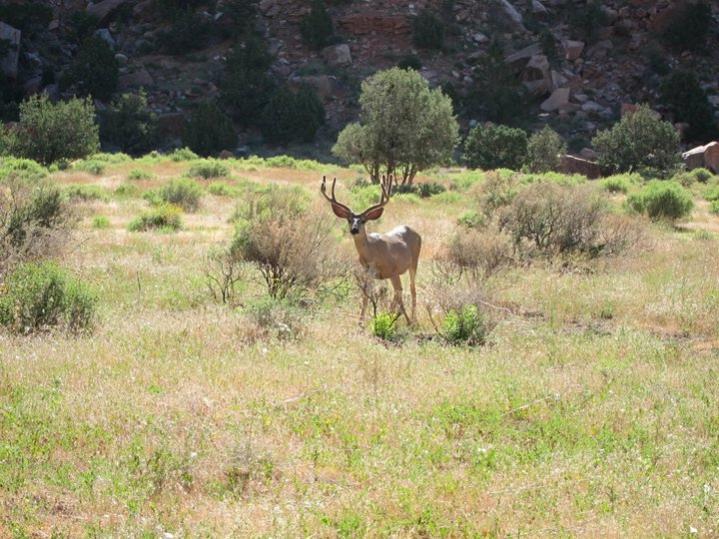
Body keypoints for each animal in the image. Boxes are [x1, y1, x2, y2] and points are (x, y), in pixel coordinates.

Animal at [320, 175, 422, 324]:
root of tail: (416, 232)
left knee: (411, 289)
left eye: (363, 221)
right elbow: (366, 295)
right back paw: (395, 316)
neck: (371, 253)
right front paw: (361, 321)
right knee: (399, 291)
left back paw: (412, 319)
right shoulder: (368, 271)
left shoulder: (391, 269)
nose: (354, 230)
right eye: (349, 220)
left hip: (413, 263)